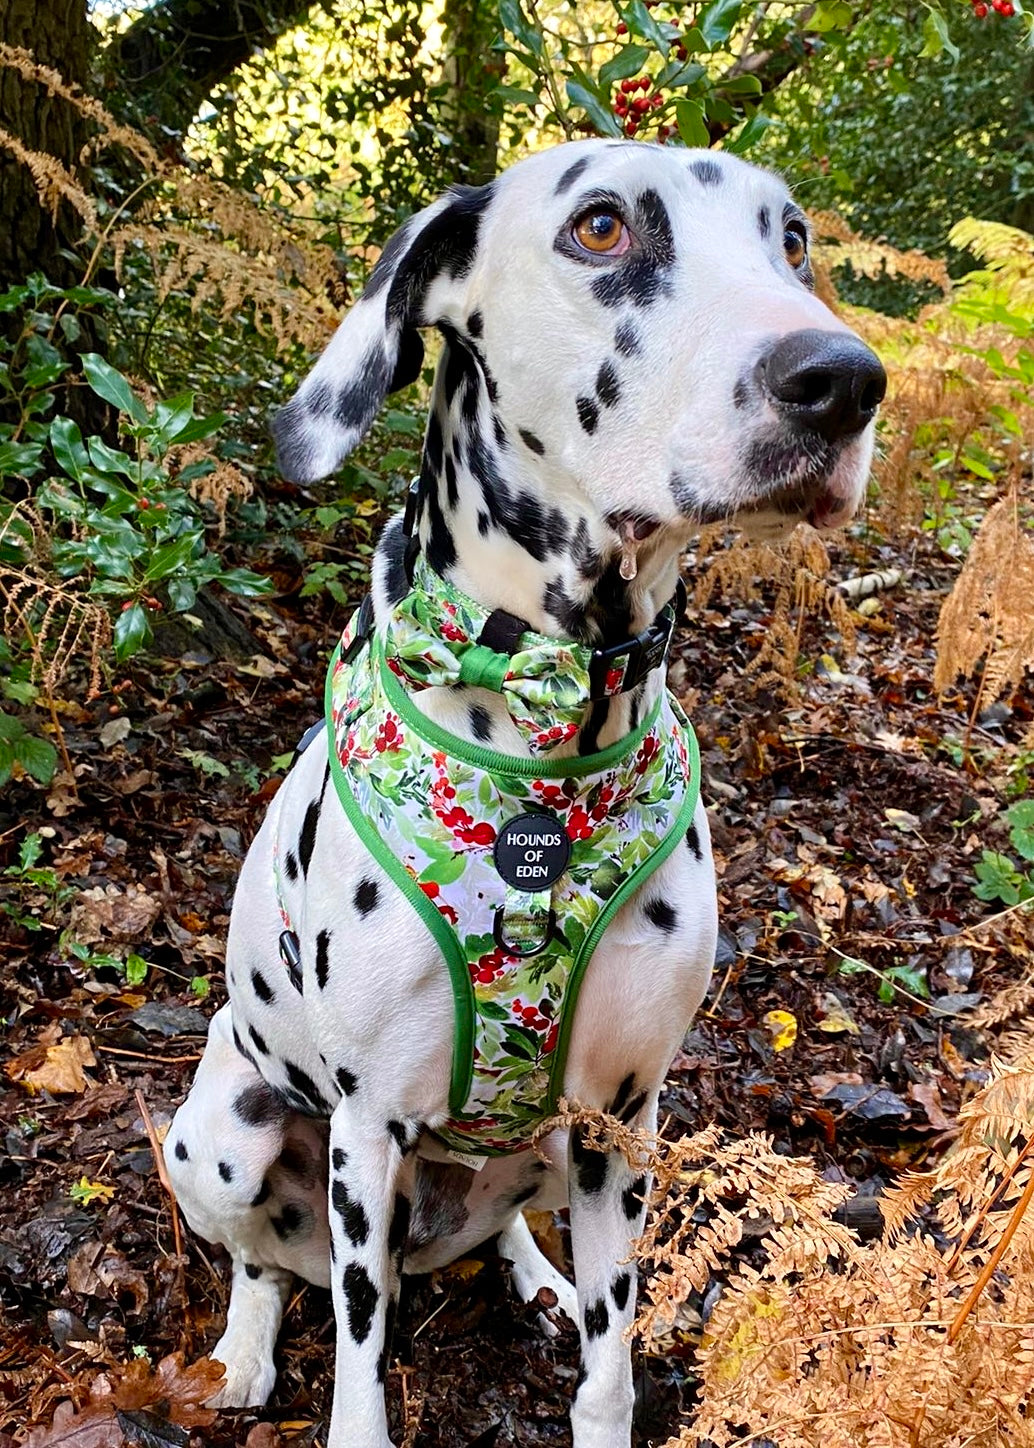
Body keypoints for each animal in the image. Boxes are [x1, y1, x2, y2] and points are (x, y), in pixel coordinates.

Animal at [165, 138, 880, 1448]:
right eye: (600, 226)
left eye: (792, 239)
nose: (842, 378)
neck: (550, 735)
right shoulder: (362, 1132)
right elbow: (357, 1360)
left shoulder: (620, 1118)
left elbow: (609, 1370)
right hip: (226, 1134)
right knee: (266, 1262)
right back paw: (240, 1345)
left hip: (559, 1147)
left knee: (503, 1224)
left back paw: (533, 1273)